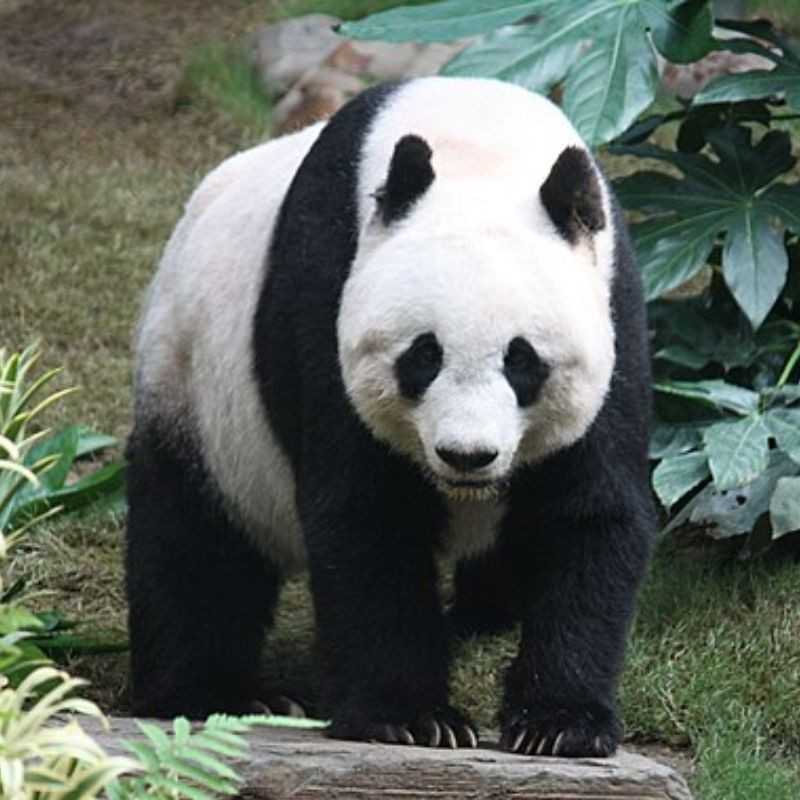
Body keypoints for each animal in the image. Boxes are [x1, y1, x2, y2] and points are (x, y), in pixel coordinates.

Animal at [126, 76, 655, 758]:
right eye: (423, 356)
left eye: (522, 361)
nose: (466, 455)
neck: (480, 147)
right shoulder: (325, 290)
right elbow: (368, 516)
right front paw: (412, 718)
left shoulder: (615, 309)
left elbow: (588, 514)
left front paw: (559, 723)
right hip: (195, 389)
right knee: (195, 542)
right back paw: (218, 694)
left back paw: (481, 617)